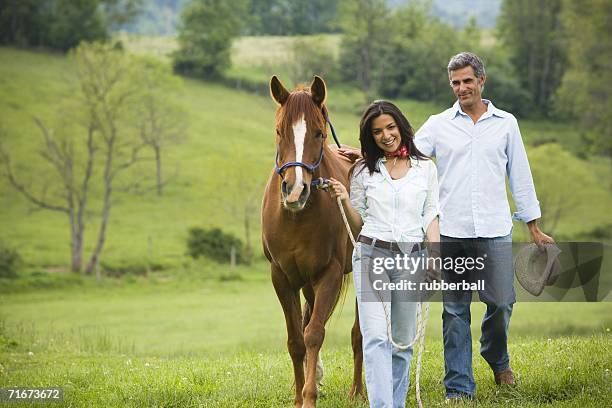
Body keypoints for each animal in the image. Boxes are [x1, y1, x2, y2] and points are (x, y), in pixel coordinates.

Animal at [262, 75, 364, 404]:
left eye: (319, 133)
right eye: (279, 131)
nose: (295, 190)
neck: (298, 218)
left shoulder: (329, 274)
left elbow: (315, 334)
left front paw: (308, 397)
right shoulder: (282, 277)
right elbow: (296, 339)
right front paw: (298, 396)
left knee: (358, 334)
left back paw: (357, 391)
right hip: (306, 283)